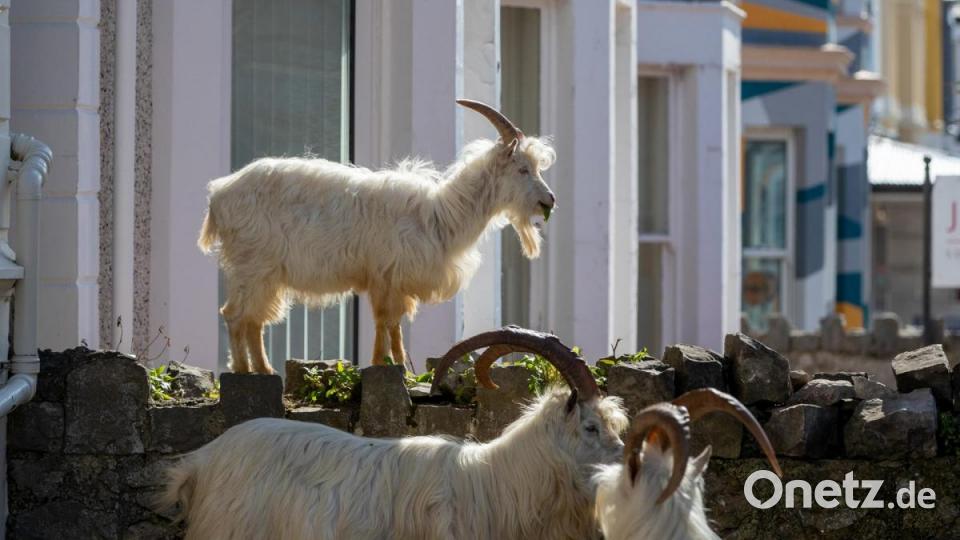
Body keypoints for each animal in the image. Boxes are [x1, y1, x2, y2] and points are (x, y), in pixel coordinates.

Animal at [198, 101, 556, 373]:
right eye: (523, 169)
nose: (549, 201)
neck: (441, 214)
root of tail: (219, 194)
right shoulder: (387, 276)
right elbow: (386, 322)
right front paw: (385, 365)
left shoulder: (391, 281)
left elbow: (392, 326)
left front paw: (395, 366)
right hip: (253, 266)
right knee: (235, 315)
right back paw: (246, 370)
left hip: (264, 274)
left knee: (252, 320)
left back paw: (262, 369)